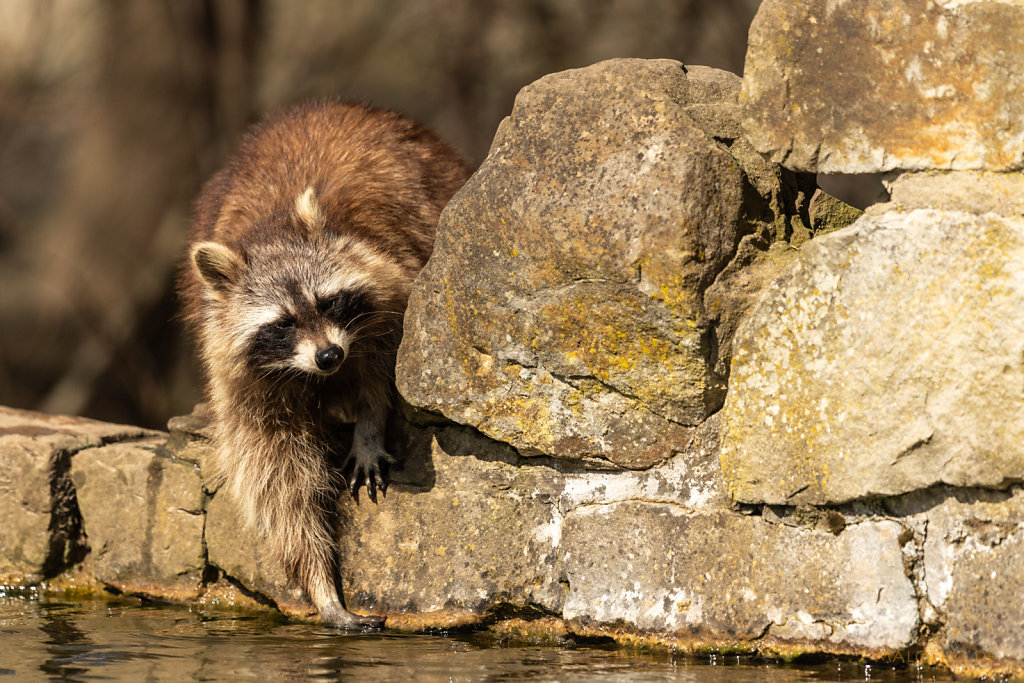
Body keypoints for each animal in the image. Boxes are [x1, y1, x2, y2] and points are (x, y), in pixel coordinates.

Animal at [181, 100, 471, 630]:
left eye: (329, 302)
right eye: (283, 324)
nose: (329, 356)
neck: (272, 231)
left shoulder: (391, 290)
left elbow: (383, 376)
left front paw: (370, 424)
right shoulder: (247, 381)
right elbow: (279, 476)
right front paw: (320, 585)